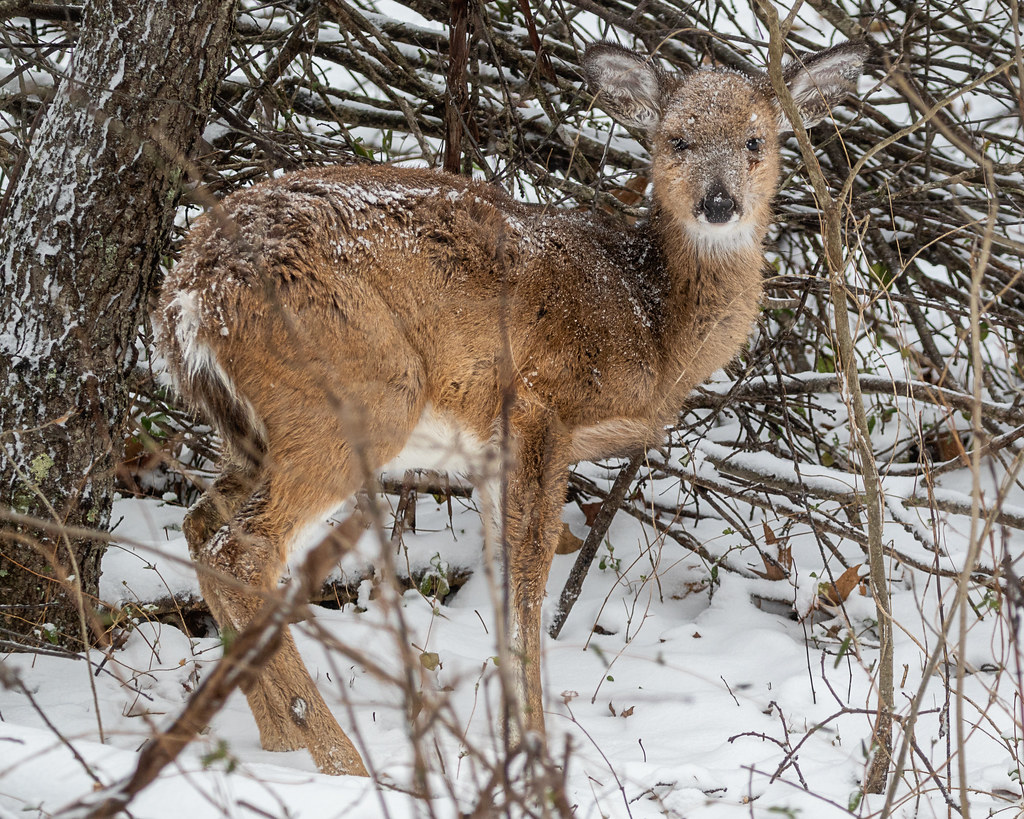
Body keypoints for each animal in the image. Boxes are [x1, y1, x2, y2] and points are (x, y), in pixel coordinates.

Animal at [156, 40, 866, 776]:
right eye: (677, 139)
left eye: (757, 140)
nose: (718, 203)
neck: (649, 321)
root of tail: (189, 294)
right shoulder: (537, 403)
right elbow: (530, 576)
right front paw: (535, 748)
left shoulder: (487, 450)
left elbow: (498, 581)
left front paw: (506, 744)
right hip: (358, 393)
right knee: (243, 548)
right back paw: (337, 757)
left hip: (252, 427)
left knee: (199, 525)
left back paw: (276, 743)